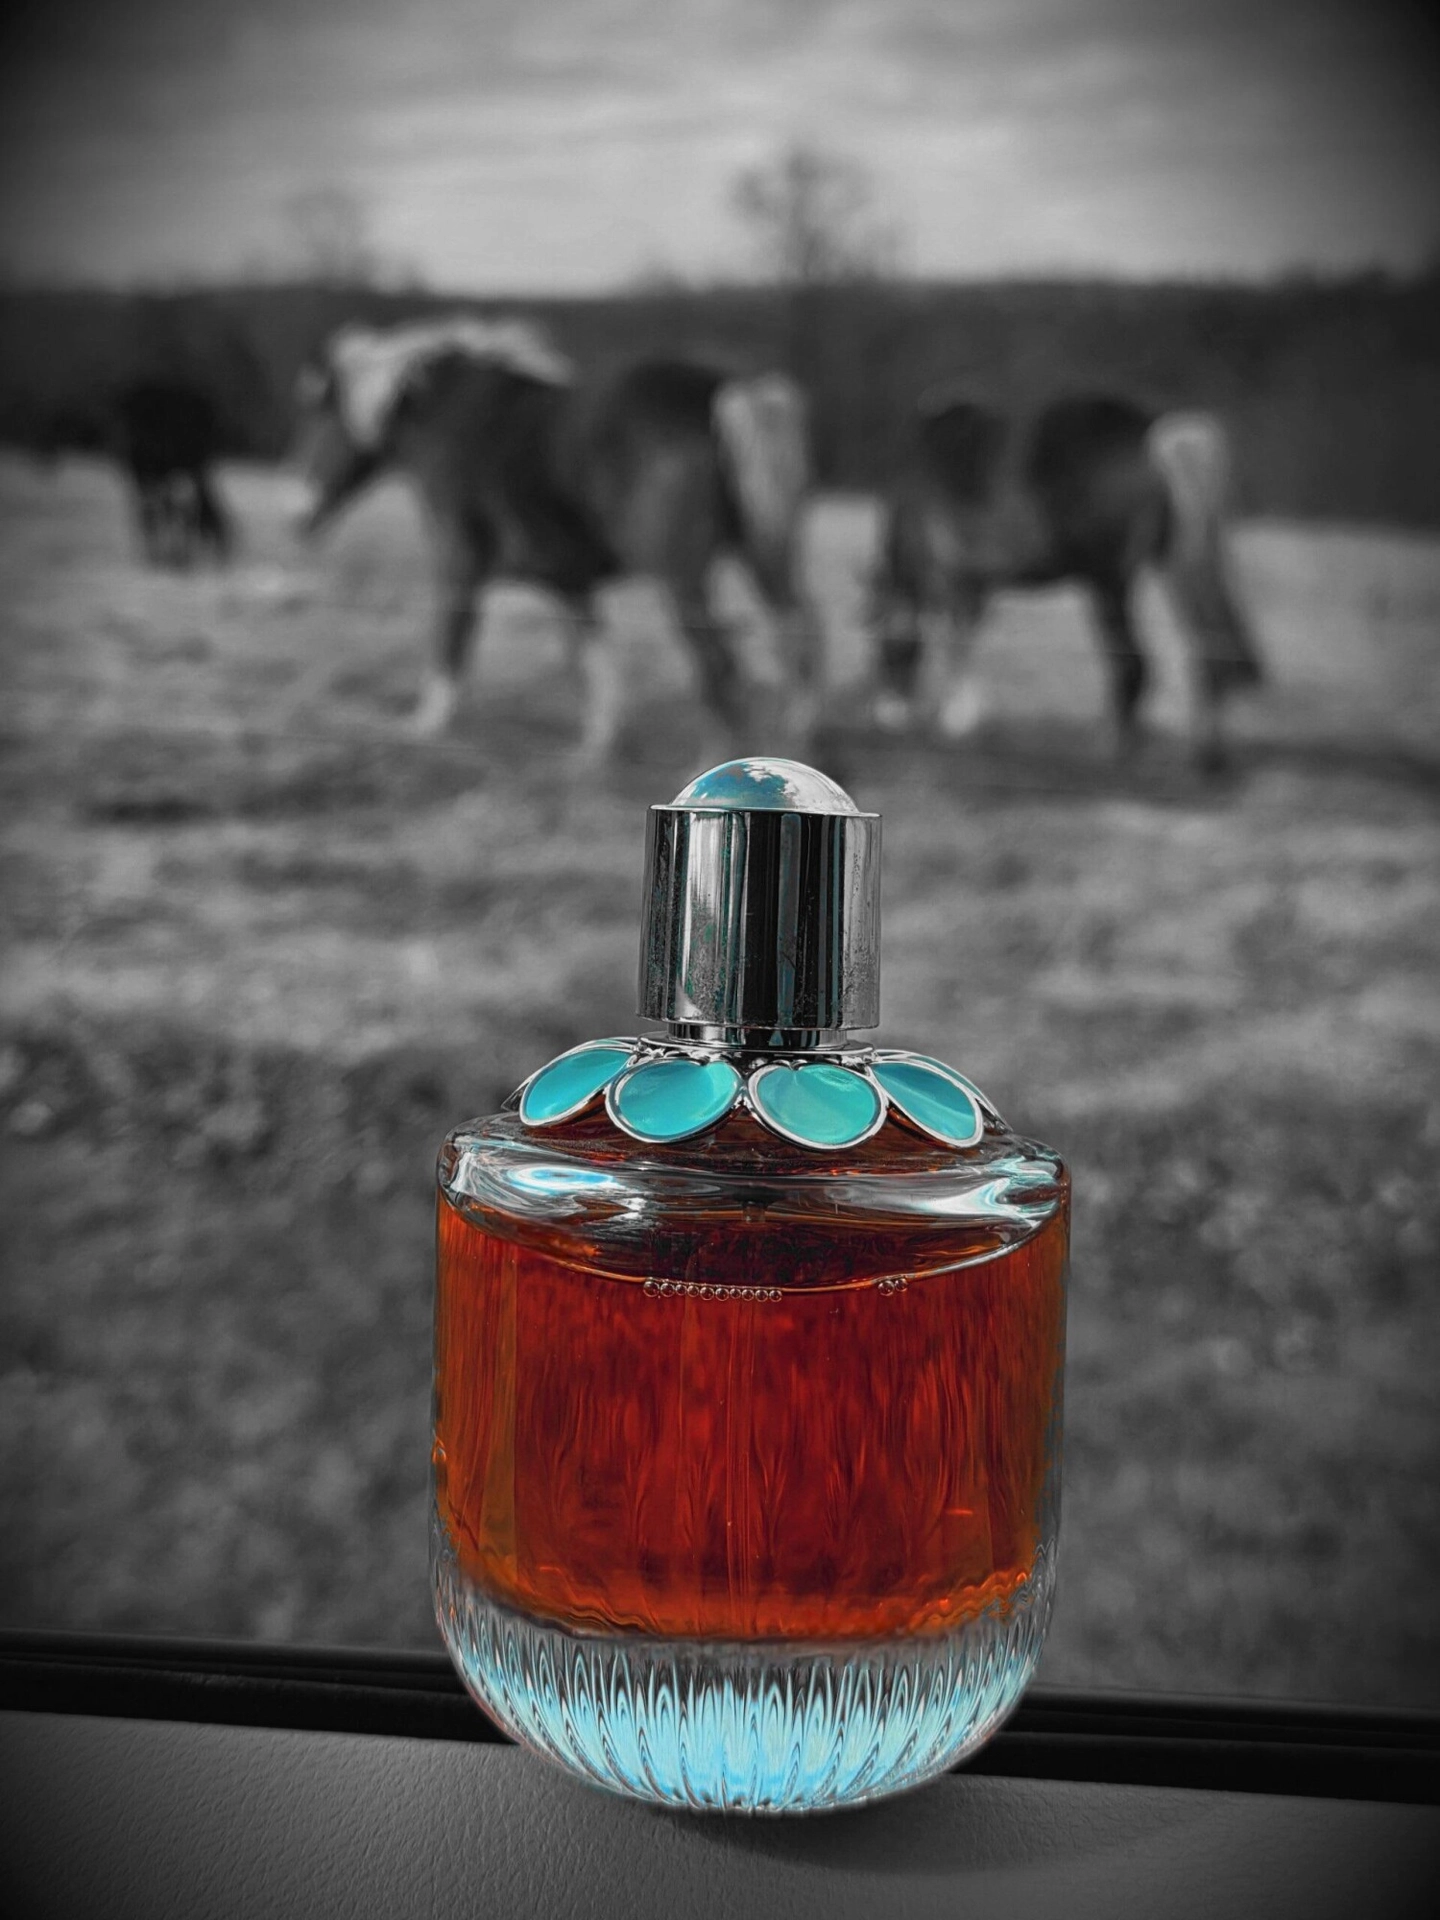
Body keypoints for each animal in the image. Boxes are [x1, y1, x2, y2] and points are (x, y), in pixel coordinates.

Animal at [291, 317, 818, 757]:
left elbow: (451, 639)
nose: (295, 514)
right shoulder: (570, 583)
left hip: (681, 575)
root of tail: (723, 392)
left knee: (722, 665)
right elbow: (593, 660)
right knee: (799, 634)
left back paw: (713, 765)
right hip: (766, 552)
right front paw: (597, 747)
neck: (454, 422)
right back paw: (793, 744)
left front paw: (425, 726)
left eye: (321, 418)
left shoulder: (459, 562)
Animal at [869, 387, 1263, 766]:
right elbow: (964, 635)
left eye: (883, 649)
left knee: (1133, 662)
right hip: (1176, 560)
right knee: (1210, 643)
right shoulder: (973, 585)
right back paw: (1208, 751)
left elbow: (953, 640)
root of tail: (1155, 433)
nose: (888, 713)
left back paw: (1114, 747)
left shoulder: (947, 574)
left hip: (1108, 580)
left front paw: (957, 719)